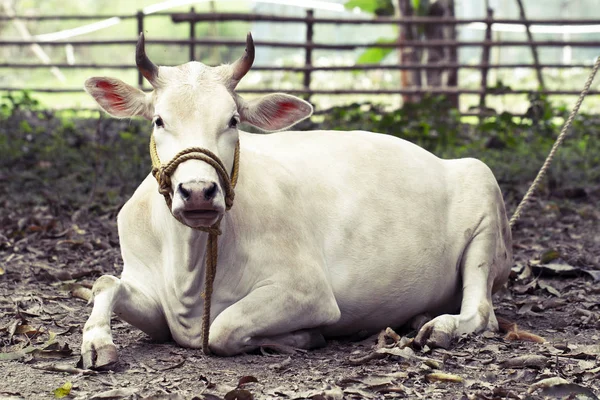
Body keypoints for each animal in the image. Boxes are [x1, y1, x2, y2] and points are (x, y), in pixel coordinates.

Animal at [79, 33, 510, 368]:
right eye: (158, 120)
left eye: (233, 120)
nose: (199, 191)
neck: (189, 266)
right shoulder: (150, 297)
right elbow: (105, 282)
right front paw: (96, 342)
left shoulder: (308, 292)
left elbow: (222, 329)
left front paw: (302, 337)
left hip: (485, 199)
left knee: (482, 311)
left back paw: (441, 326)